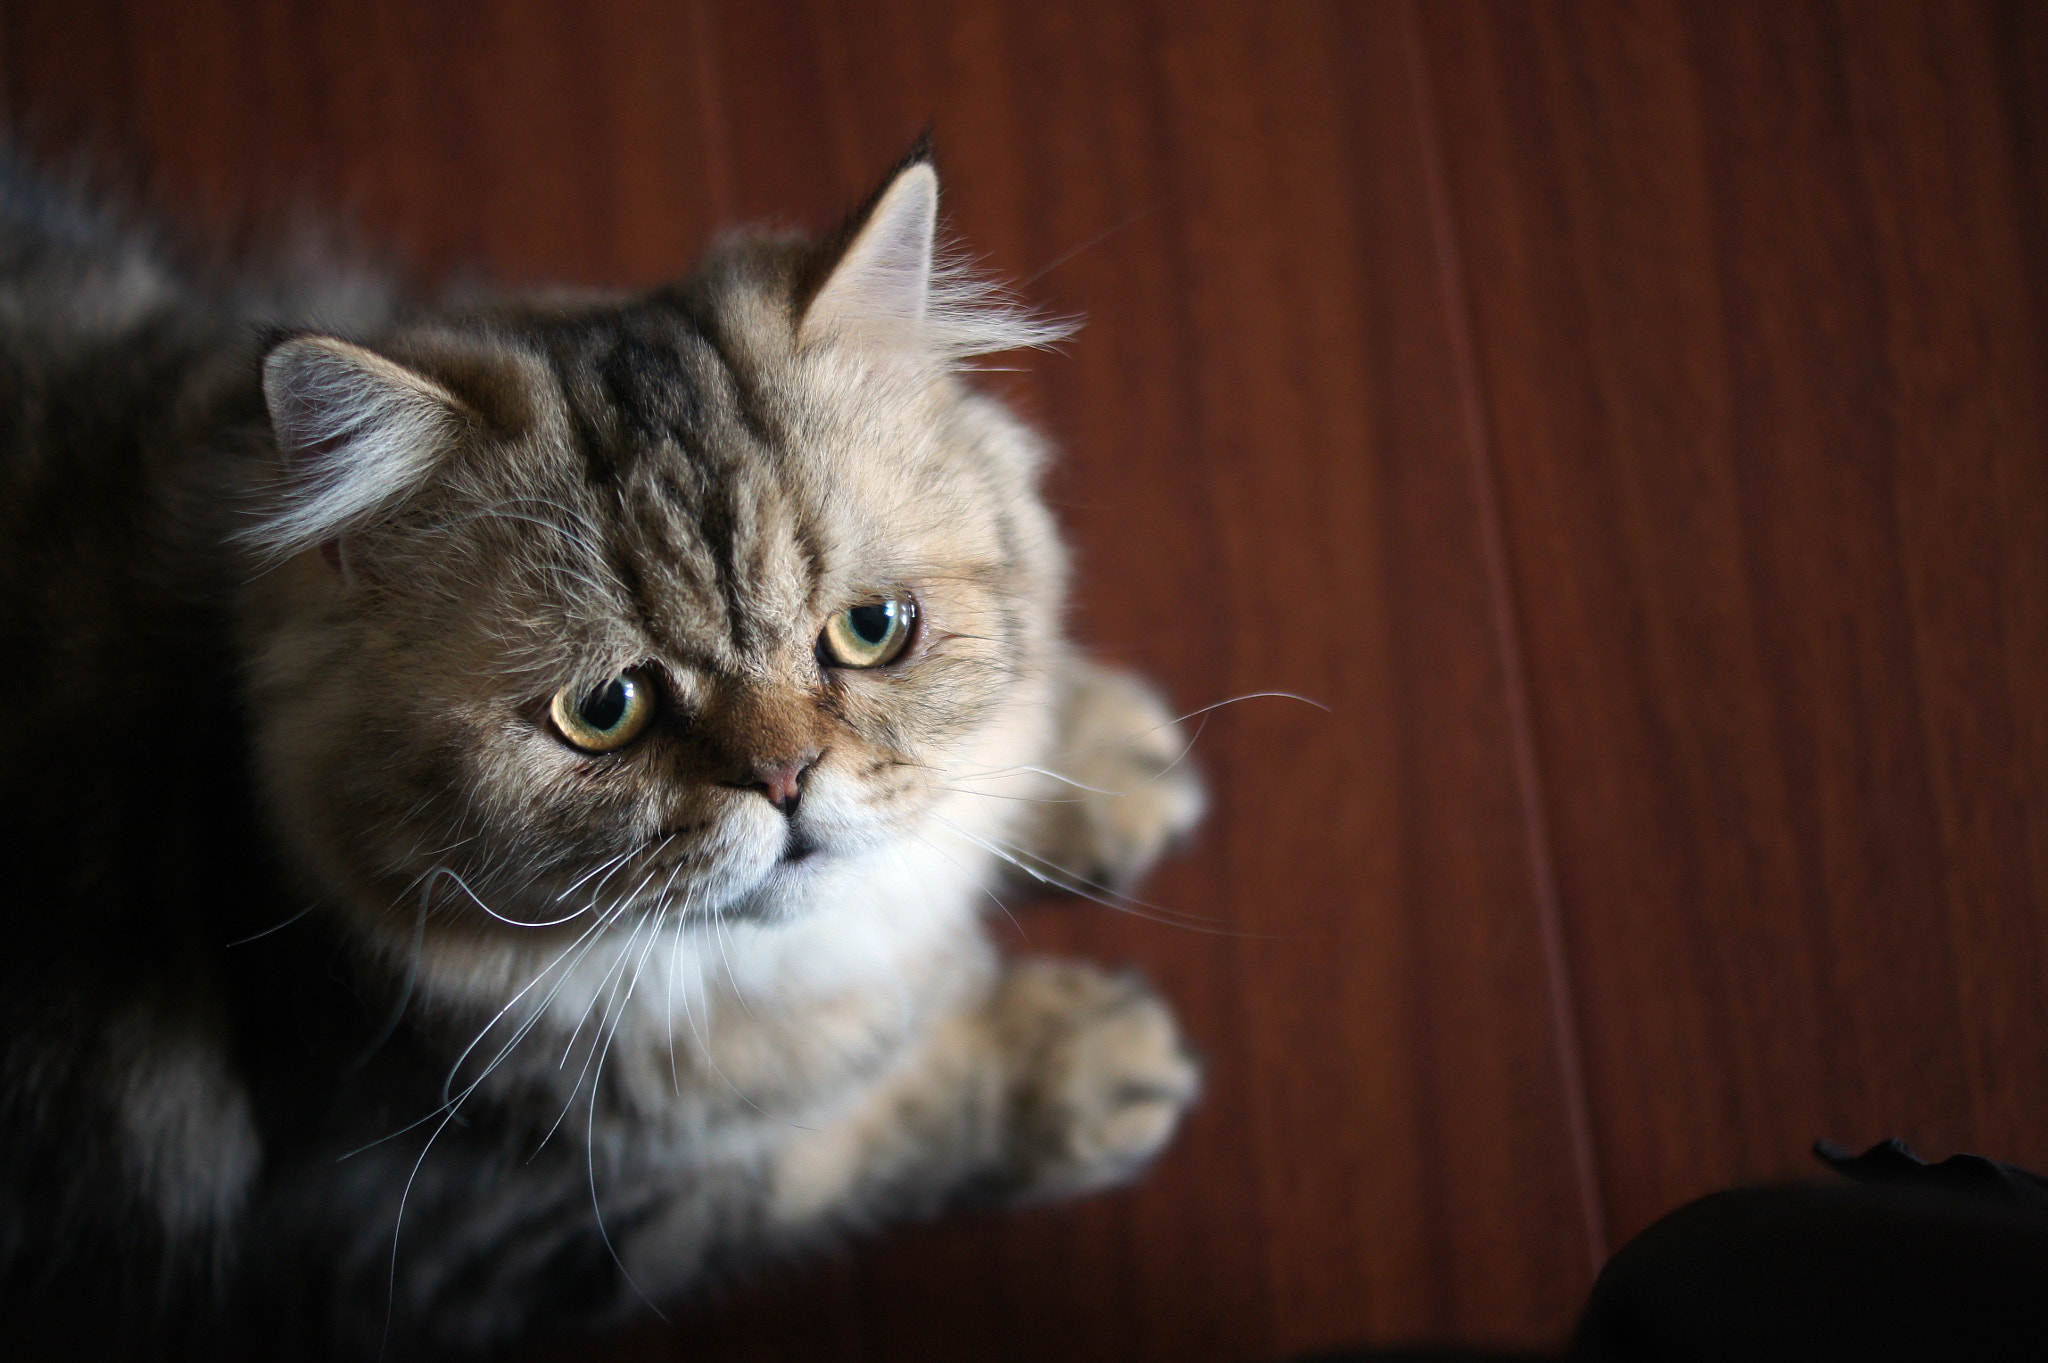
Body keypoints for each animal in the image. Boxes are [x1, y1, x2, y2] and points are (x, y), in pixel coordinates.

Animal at [0, 143, 1204, 1350]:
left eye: (871, 630)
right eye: (605, 708)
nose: (785, 780)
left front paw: (1105, 755)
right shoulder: (437, 1229)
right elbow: (842, 1134)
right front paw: (1087, 1059)